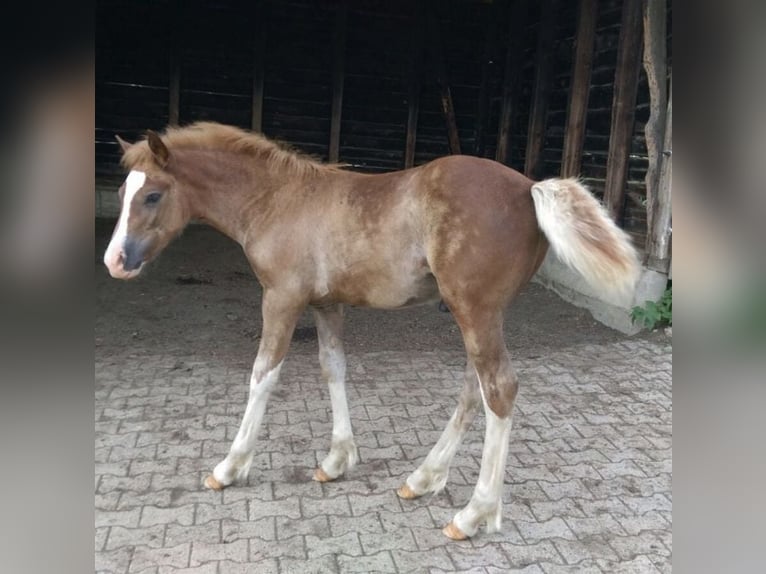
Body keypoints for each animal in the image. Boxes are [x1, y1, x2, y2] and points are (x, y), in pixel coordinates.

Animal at [103, 122, 639, 540]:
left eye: (153, 194)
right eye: (122, 194)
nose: (114, 262)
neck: (277, 200)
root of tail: (528, 188)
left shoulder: (281, 298)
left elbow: (262, 376)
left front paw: (229, 467)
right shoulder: (326, 305)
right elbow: (333, 368)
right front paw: (337, 460)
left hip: (475, 310)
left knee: (499, 390)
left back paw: (473, 514)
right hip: (481, 314)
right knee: (476, 391)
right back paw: (423, 478)